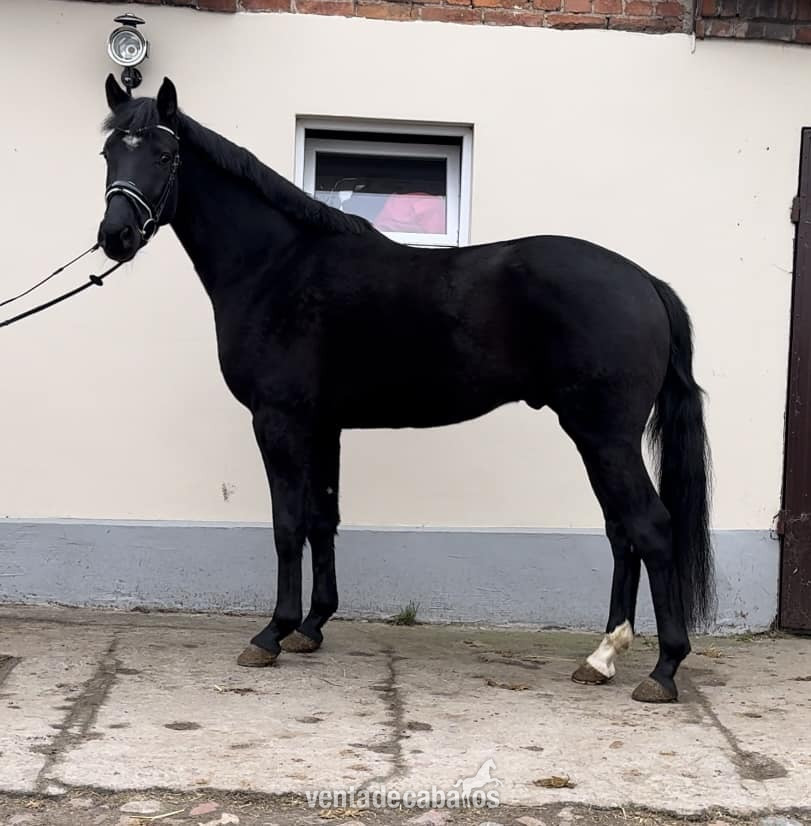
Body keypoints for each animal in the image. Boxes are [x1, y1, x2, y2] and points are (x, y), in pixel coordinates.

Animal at [97, 75, 713, 703]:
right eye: (109, 154)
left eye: (164, 155)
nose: (115, 236)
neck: (276, 265)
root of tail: (645, 282)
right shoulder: (323, 425)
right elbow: (322, 518)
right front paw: (312, 627)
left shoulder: (279, 420)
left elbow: (287, 524)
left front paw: (272, 633)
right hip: (599, 438)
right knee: (621, 531)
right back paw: (603, 656)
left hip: (604, 435)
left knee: (649, 527)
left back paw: (663, 669)